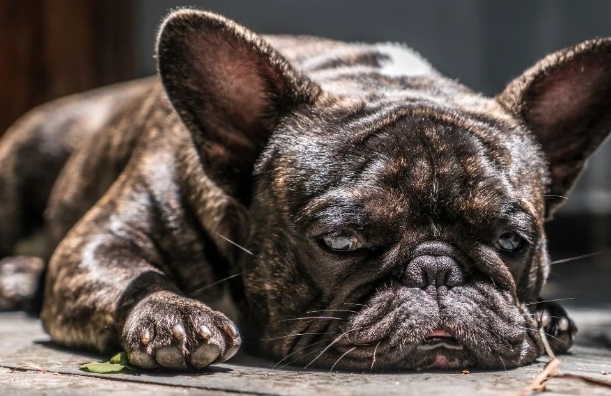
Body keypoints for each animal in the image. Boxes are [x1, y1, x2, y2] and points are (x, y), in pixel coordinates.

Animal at [2, 9, 608, 370]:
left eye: (512, 242)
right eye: (339, 242)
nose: (437, 271)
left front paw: (547, 317)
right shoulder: (96, 247)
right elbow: (134, 275)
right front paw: (171, 314)